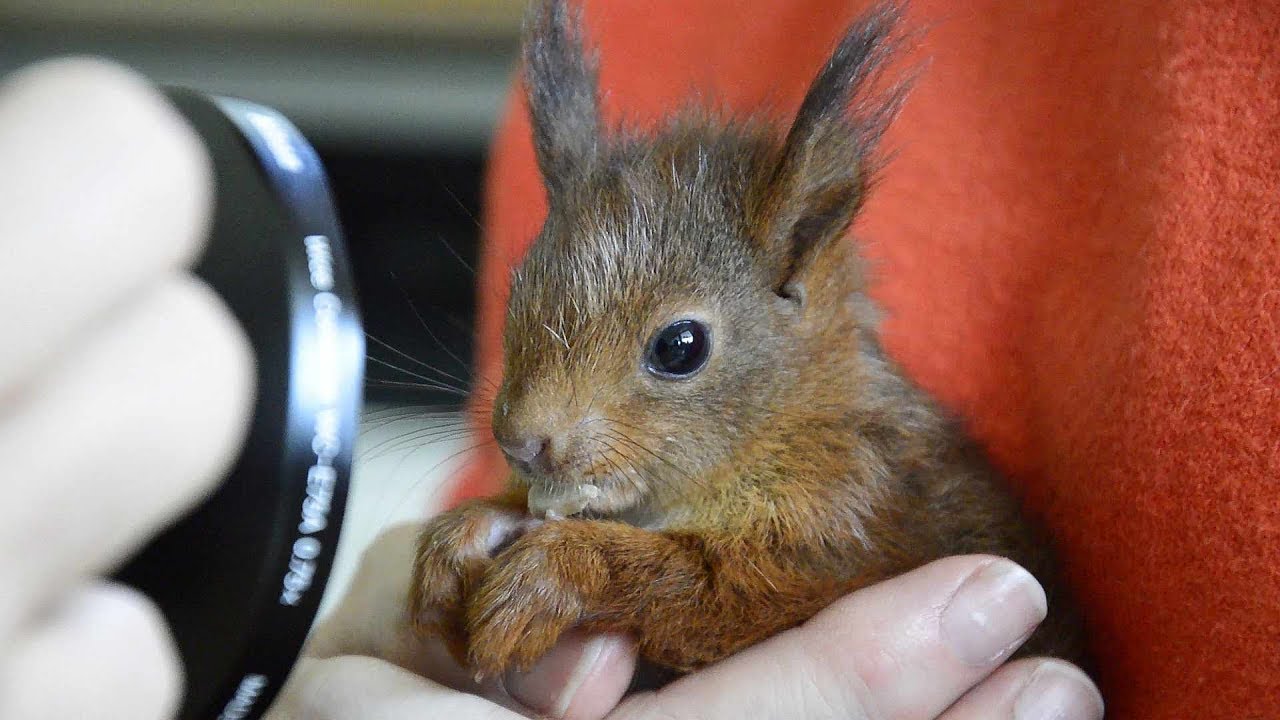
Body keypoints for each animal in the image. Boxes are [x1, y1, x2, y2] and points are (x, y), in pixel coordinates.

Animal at [408, 0, 1089, 685]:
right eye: (518, 290)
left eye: (680, 346)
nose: (520, 442)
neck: (784, 423)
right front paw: (458, 541)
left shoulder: (844, 523)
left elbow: (717, 589)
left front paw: (551, 573)